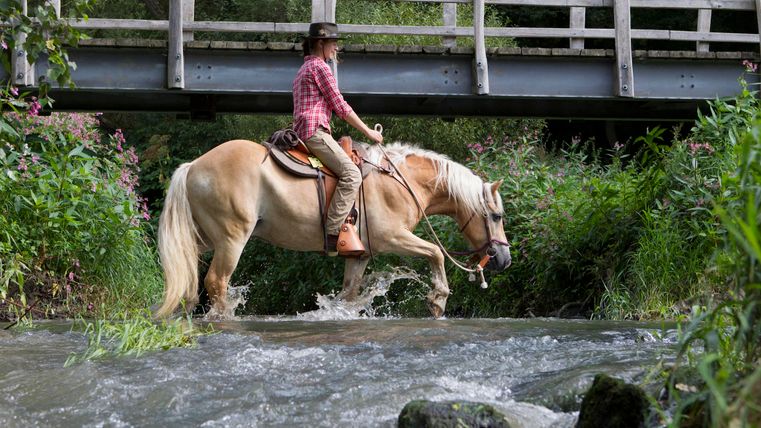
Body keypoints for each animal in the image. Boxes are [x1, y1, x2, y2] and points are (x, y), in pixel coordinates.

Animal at [155, 139, 511, 318]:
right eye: (496, 216)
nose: (504, 259)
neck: (400, 182)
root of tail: (193, 167)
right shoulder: (393, 237)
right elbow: (435, 252)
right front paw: (438, 299)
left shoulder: (360, 254)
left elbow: (349, 293)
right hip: (232, 240)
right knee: (216, 282)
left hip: (203, 240)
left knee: (190, 281)